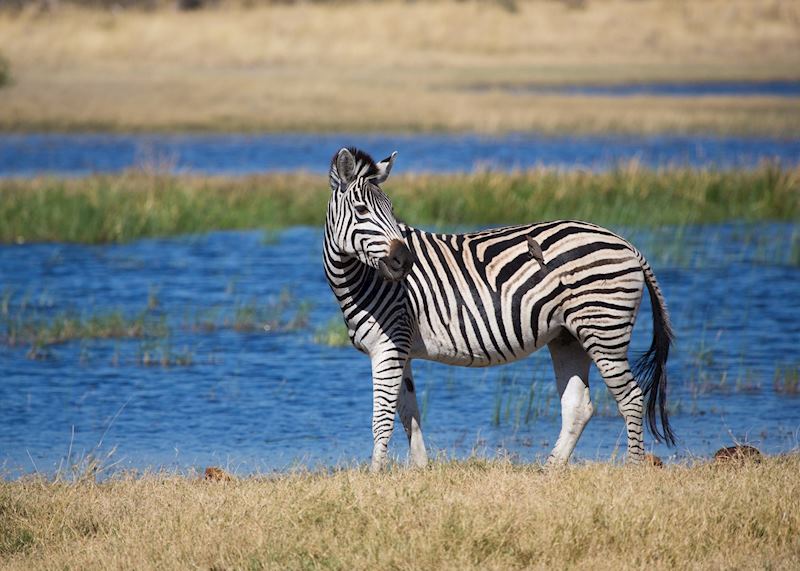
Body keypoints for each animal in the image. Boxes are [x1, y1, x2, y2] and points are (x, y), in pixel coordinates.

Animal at [324, 147, 675, 472]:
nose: (405, 261)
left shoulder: (388, 345)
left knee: (631, 398)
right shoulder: (401, 349)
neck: (362, 279)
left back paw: (631, 468)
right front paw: (420, 470)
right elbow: (410, 415)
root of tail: (627, 244)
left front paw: (376, 476)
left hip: (603, 328)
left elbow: (382, 419)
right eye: (361, 210)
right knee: (579, 406)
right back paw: (549, 471)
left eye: (391, 209)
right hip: (568, 336)